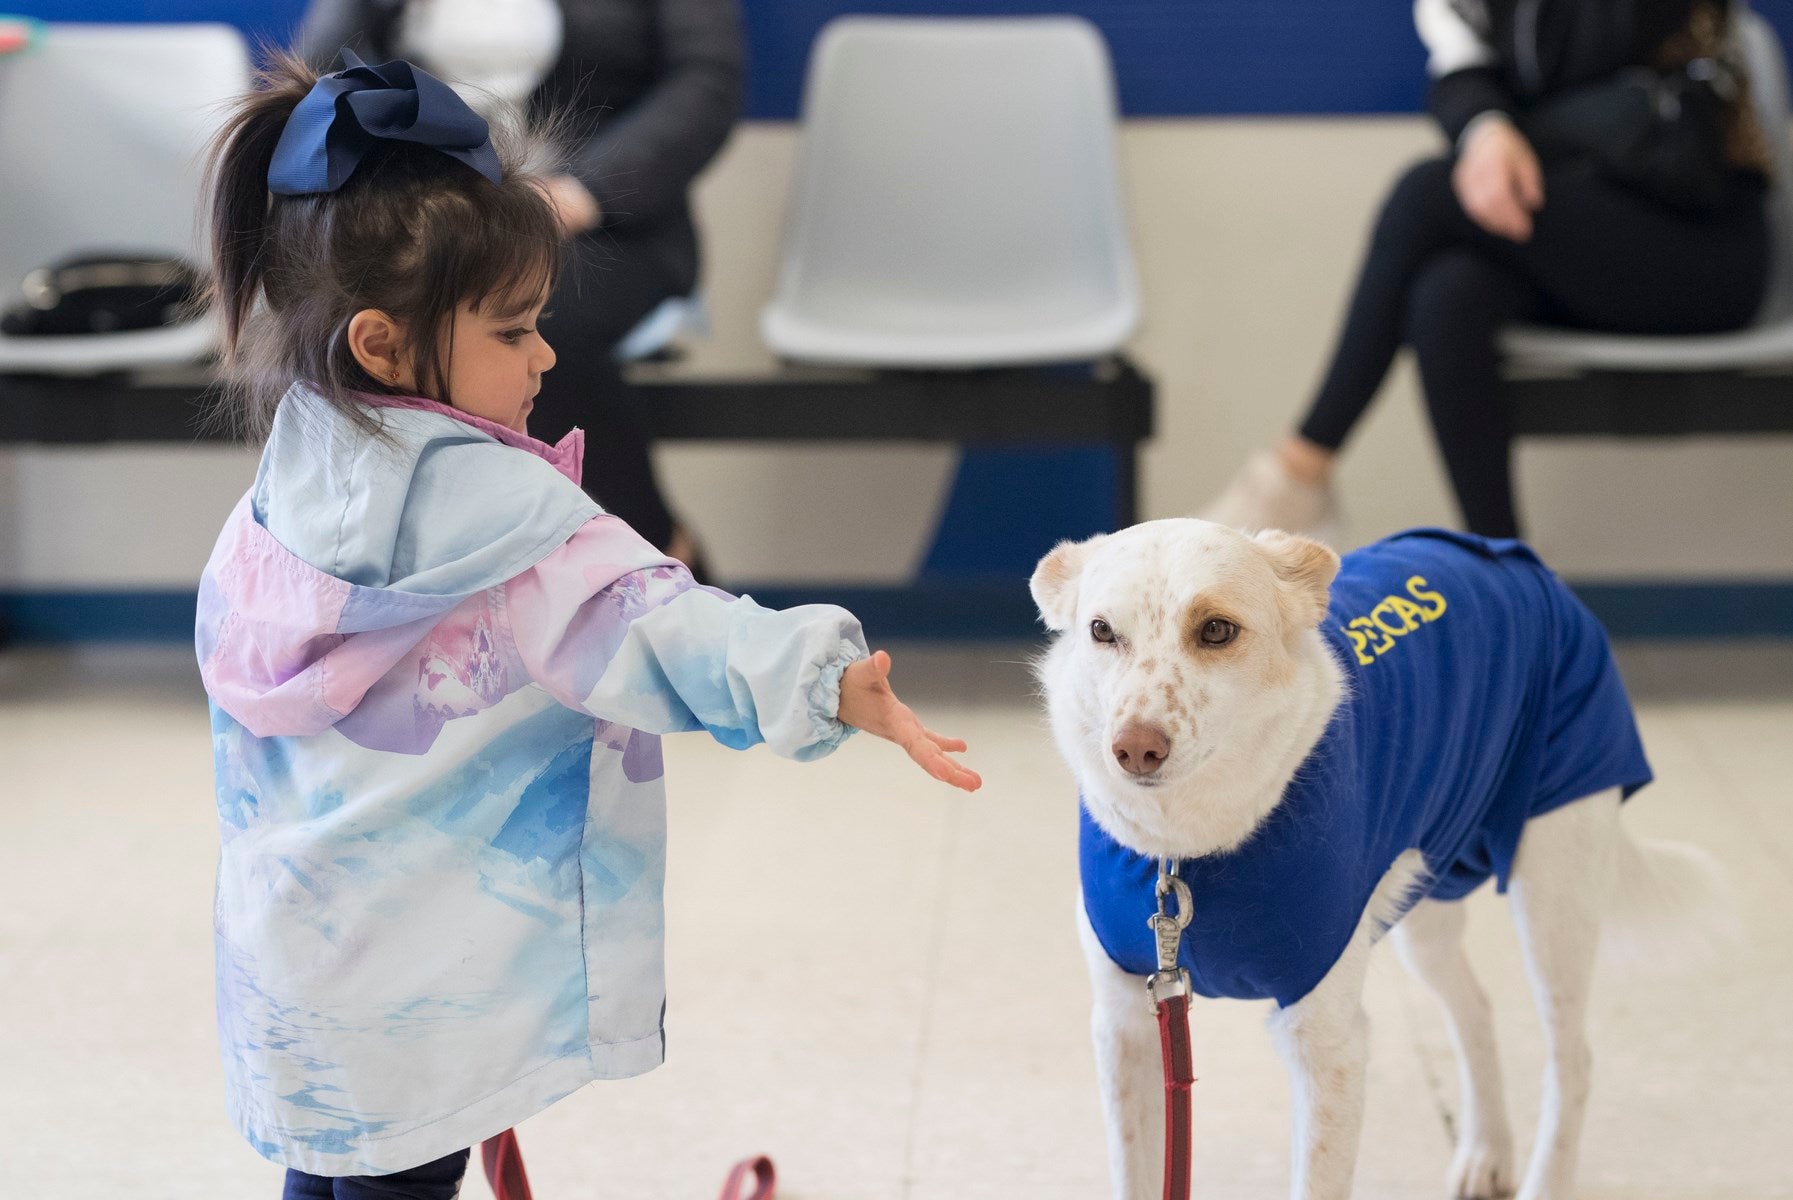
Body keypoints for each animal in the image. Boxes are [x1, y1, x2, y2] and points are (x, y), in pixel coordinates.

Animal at [1039, 520, 1721, 1198]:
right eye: (1102, 630)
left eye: (1216, 630)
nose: (1135, 749)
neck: (1181, 854)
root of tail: (1516, 560)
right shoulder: (1128, 1026)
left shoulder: (1327, 1043)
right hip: (1425, 905)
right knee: (1476, 1011)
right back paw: (1486, 1149)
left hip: (1555, 890)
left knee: (1572, 1061)